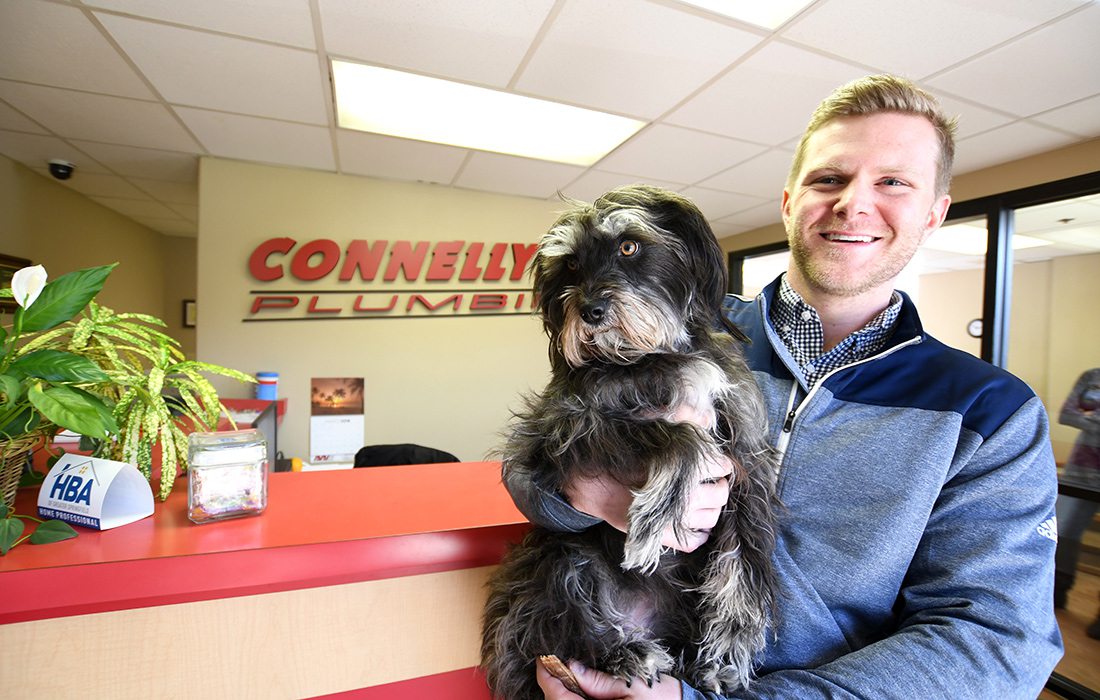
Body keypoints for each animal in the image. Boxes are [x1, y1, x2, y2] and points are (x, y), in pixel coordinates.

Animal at [481, 182, 783, 695]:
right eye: (571, 265)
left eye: (628, 246)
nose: (590, 312)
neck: (650, 356)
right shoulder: (556, 431)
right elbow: (679, 433)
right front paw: (656, 516)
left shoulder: (746, 459)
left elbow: (744, 555)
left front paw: (727, 651)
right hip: (556, 554)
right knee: (560, 623)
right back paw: (622, 651)